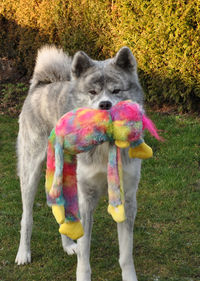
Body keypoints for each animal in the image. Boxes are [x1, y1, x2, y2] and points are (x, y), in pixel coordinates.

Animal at [15, 46, 144, 280]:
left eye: (116, 91)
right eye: (92, 92)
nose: (105, 104)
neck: (103, 144)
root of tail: (41, 84)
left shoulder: (127, 199)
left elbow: (126, 254)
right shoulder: (87, 199)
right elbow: (85, 252)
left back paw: (67, 245)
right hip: (30, 175)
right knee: (26, 217)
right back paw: (23, 253)